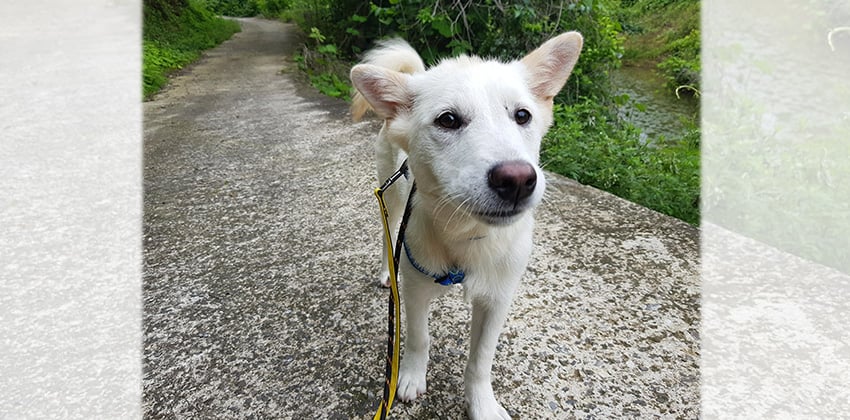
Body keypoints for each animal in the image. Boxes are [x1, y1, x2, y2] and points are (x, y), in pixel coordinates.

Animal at [348, 33, 580, 420]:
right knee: (386, 234)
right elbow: (418, 337)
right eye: (448, 120)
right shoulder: (414, 287)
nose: (517, 180)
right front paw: (411, 377)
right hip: (390, 194)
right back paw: (384, 271)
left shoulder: (498, 298)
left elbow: (481, 360)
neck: (467, 233)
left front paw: (482, 404)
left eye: (522, 115)